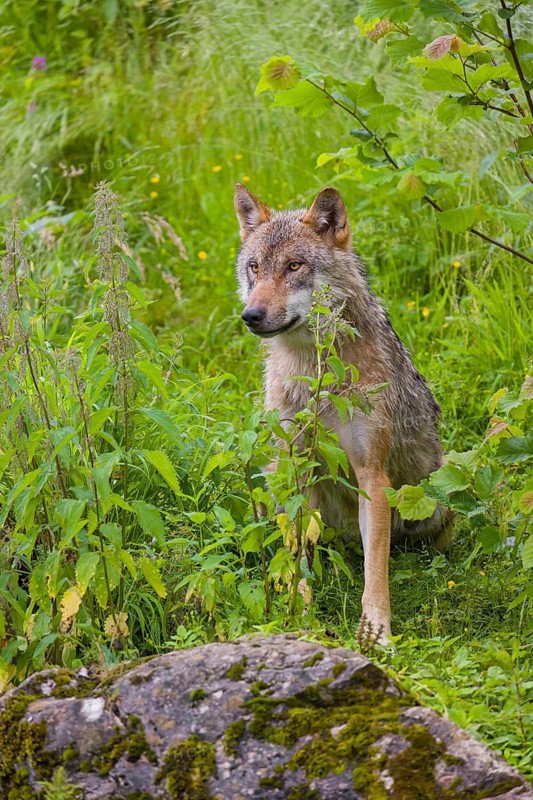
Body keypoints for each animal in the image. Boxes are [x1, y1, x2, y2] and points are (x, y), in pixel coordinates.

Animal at [234, 183, 453, 641]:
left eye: (294, 266)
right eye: (255, 268)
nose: (251, 316)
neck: (315, 374)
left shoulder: (372, 474)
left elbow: (376, 568)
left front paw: (376, 632)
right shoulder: (298, 469)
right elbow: (297, 555)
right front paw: (299, 615)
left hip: (434, 499)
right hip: (271, 482)